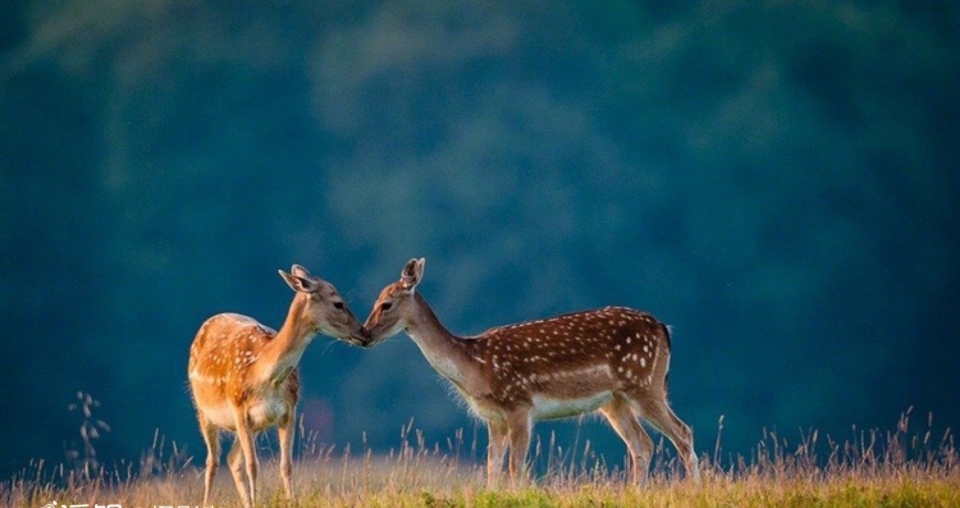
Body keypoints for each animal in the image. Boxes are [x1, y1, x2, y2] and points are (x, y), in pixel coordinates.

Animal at [188, 266, 368, 508]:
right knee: (212, 461)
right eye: (338, 303)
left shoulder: (289, 410)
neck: (264, 377)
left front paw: (290, 501)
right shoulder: (238, 408)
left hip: (253, 425)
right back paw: (208, 501)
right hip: (203, 409)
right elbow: (253, 465)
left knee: (232, 459)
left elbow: (286, 465)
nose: (364, 333)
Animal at [364, 260, 700, 486]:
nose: (365, 334)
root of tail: (663, 328)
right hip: (615, 401)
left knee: (682, 432)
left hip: (644, 383)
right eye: (374, 301)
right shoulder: (494, 418)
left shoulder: (519, 405)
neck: (476, 366)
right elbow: (492, 467)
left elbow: (516, 467)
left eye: (386, 304)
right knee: (642, 444)